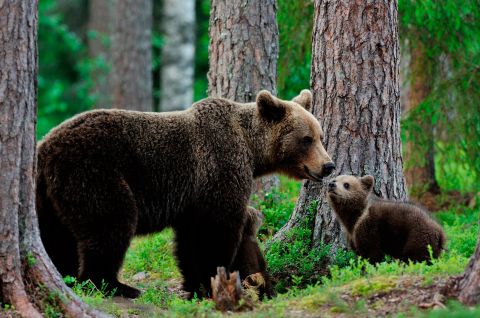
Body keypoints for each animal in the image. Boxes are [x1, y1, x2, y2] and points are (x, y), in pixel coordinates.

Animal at [36, 89, 334, 298]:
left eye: (320, 135)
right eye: (306, 139)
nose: (328, 165)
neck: (251, 150)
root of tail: (46, 146)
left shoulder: (192, 196)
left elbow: (190, 237)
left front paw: (195, 284)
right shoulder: (219, 167)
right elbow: (216, 230)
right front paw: (211, 281)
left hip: (48, 194)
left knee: (55, 234)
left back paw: (66, 274)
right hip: (94, 173)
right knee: (111, 223)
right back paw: (114, 285)